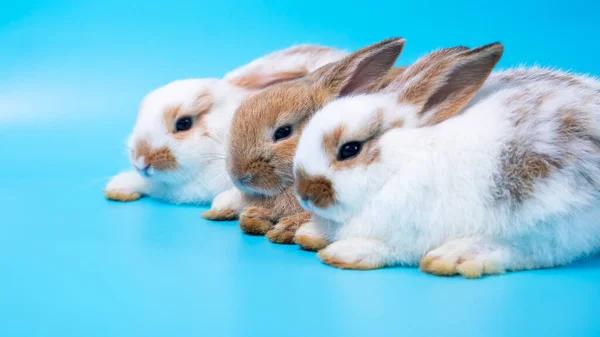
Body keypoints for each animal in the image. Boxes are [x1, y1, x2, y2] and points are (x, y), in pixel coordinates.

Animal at [292, 40, 600, 276]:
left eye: (350, 149)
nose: (304, 194)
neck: (400, 165)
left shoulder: (410, 229)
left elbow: (389, 247)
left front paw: (346, 252)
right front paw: (310, 232)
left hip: (546, 211)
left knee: (530, 250)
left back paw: (455, 257)